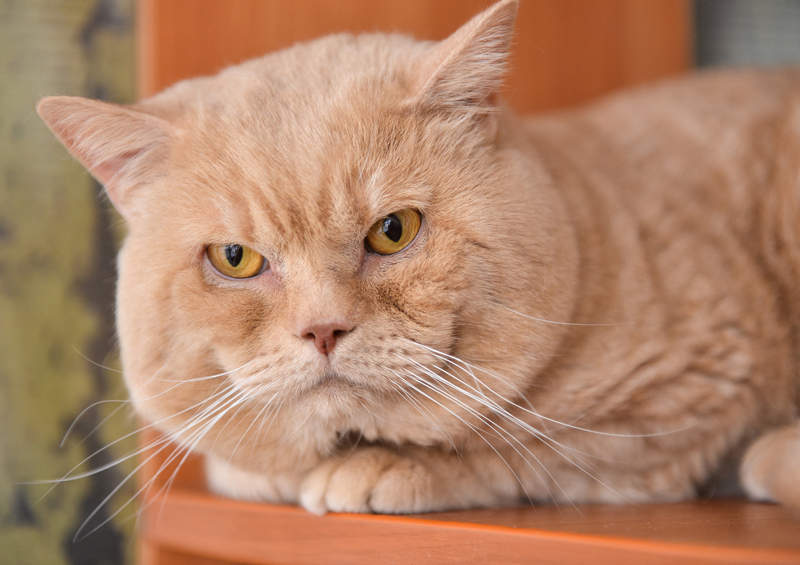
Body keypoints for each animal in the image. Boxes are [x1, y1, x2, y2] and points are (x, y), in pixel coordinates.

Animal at [36, 0, 800, 512]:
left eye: (393, 231)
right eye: (235, 258)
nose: (322, 329)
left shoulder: (679, 395)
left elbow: (517, 448)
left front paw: (376, 470)